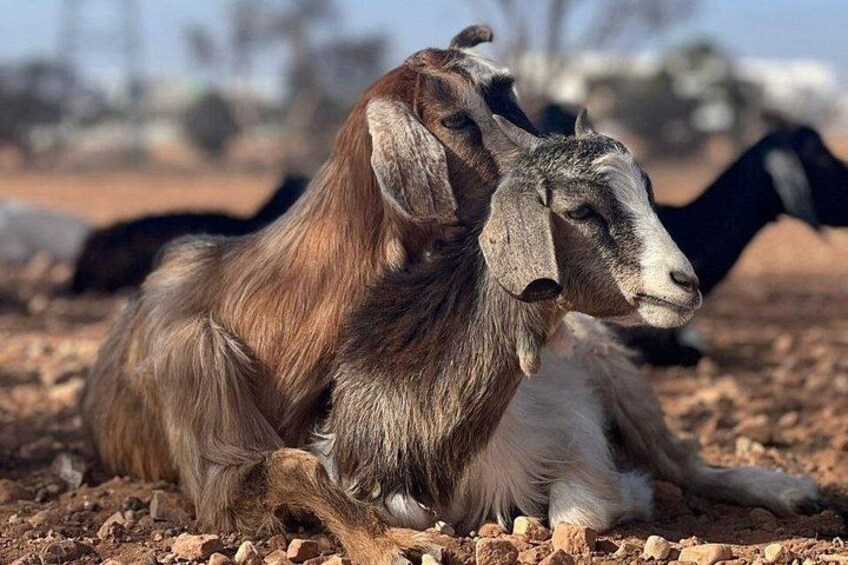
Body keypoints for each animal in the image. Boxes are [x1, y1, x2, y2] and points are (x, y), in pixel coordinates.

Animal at [317, 115, 817, 535]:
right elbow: (413, 515)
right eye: (581, 211)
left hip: (620, 376)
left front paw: (633, 493)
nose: (686, 283)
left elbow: (577, 512)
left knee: (684, 465)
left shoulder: (577, 429)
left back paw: (792, 492)